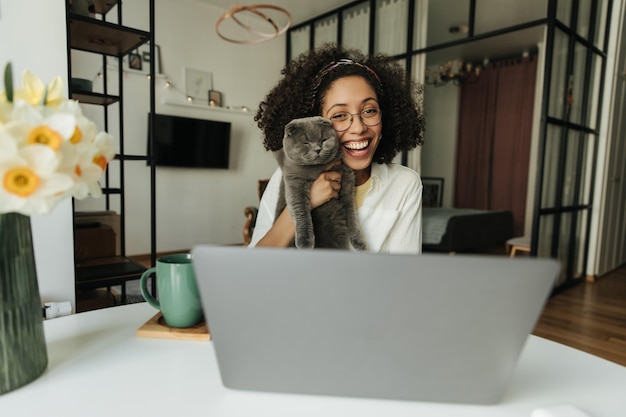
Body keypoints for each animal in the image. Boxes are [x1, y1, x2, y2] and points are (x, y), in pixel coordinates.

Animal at [272, 115, 366, 249]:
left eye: (323, 140)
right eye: (305, 143)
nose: (318, 149)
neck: (317, 169)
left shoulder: (347, 179)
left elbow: (352, 213)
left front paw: (359, 242)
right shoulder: (294, 183)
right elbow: (300, 210)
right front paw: (305, 242)